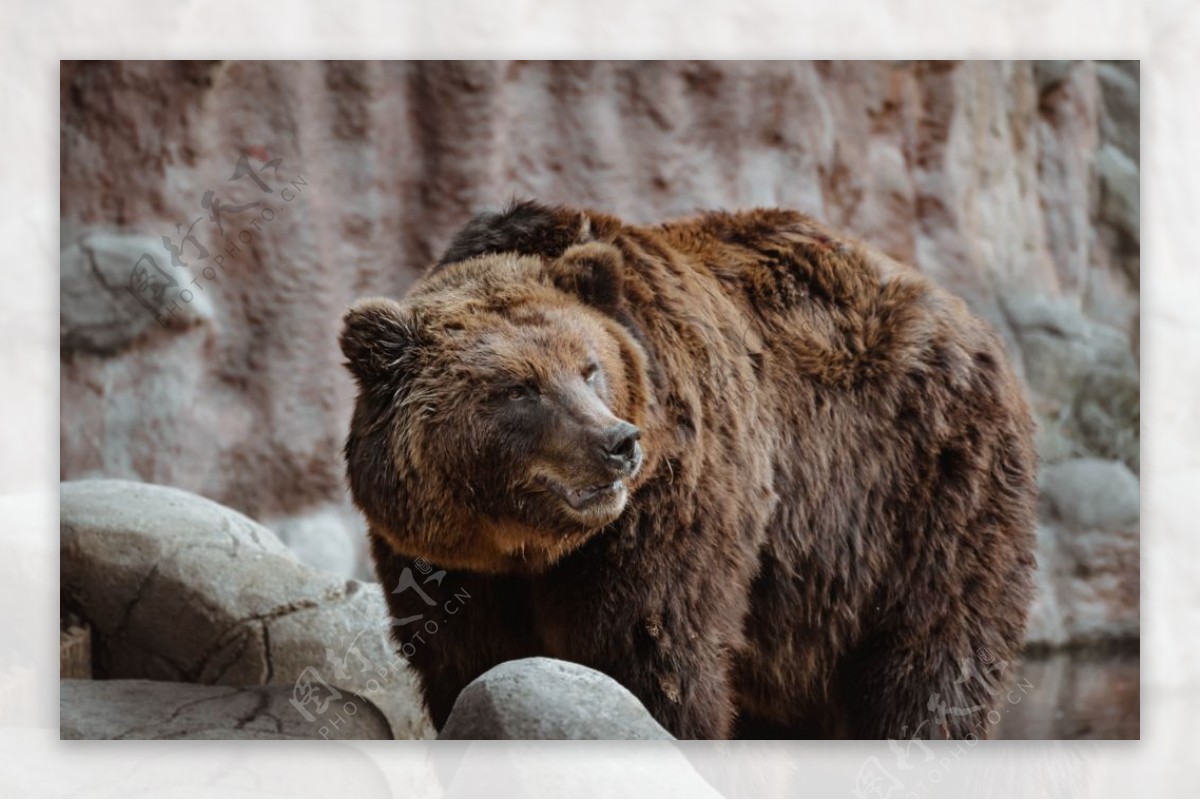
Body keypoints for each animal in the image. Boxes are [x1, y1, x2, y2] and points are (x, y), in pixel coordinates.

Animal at [340, 200, 1041, 738]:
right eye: (518, 388)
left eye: (590, 368)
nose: (617, 442)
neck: (519, 547)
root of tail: (974, 323)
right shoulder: (445, 567)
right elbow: (466, 666)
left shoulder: (672, 504)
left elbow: (651, 654)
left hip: (924, 495)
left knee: (932, 660)